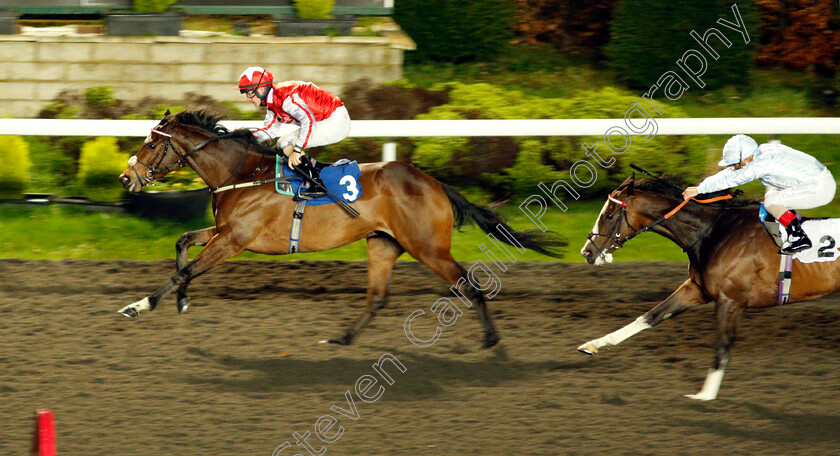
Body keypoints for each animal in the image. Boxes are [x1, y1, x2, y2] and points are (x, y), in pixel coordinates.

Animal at [116, 109, 564, 346]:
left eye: (152, 144)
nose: (126, 178)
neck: (242, 174)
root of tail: (435, 183)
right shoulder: (224, 231)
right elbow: (182, 244)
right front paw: (181, 301)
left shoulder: (236, 240)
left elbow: (186, 270)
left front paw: (141, 305)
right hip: (383, 243)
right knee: (377, 297)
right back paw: (342, 339)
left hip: (429, 248)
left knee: (469, 284)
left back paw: (492, 342)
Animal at [580, 174, 836, 400]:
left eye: (609, 215)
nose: (587, 252)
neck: (713, 232)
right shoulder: (697, 289)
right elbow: (651, 316)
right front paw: (594, 344)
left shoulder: (730, 300)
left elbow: (722, 347)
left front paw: (705, 396)